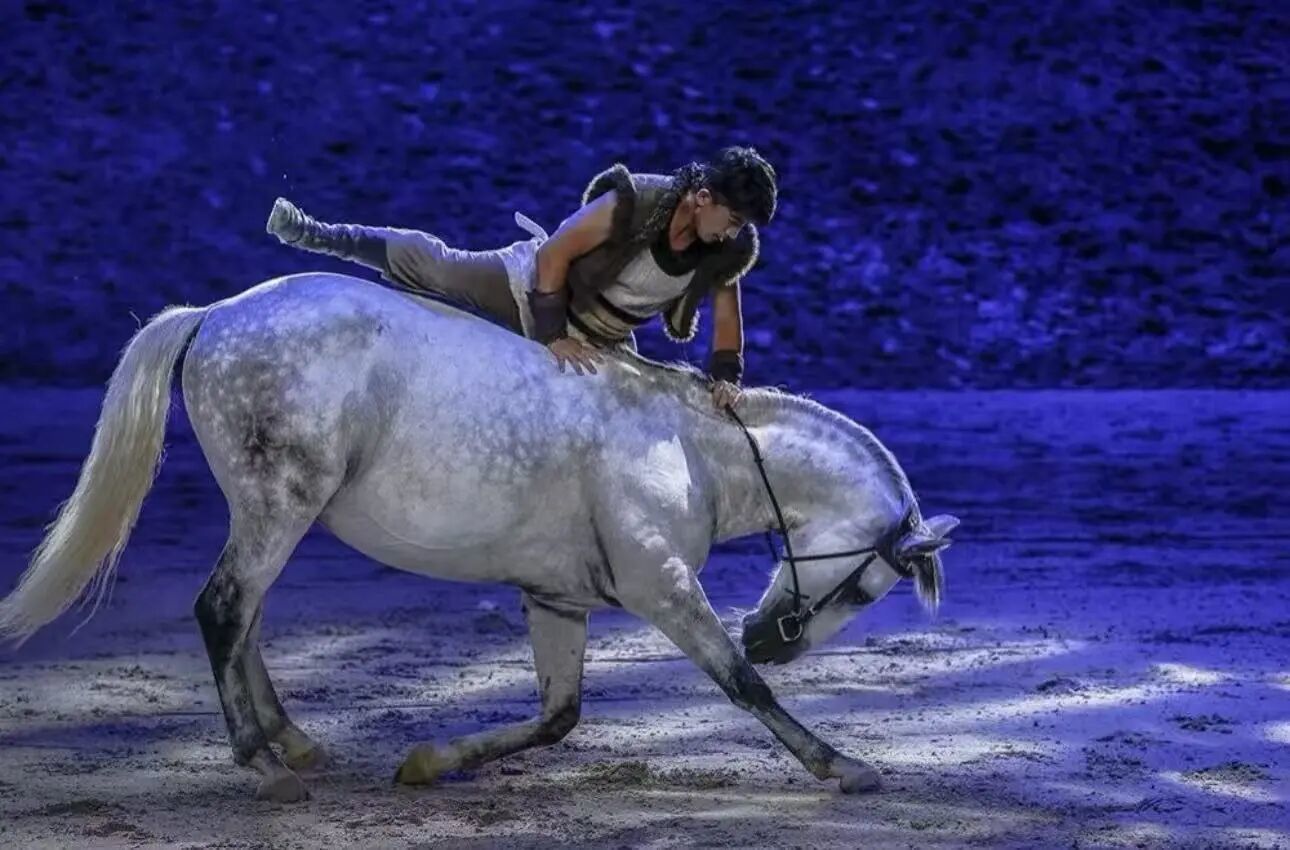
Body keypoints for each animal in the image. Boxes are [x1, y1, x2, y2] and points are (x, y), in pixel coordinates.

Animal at [0, 272, 958, 802]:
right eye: (864, 587)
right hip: (280, 503)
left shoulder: (557, 598)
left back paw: (293, 742)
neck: (692, 450)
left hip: (276, 510)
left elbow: (558, 717)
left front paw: (428, 764)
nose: (772, 636)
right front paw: (843, 766)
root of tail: (217, 313)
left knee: (247, 616)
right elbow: (741, 687)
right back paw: (265, 768)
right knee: (224, 610)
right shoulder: (662, 587)